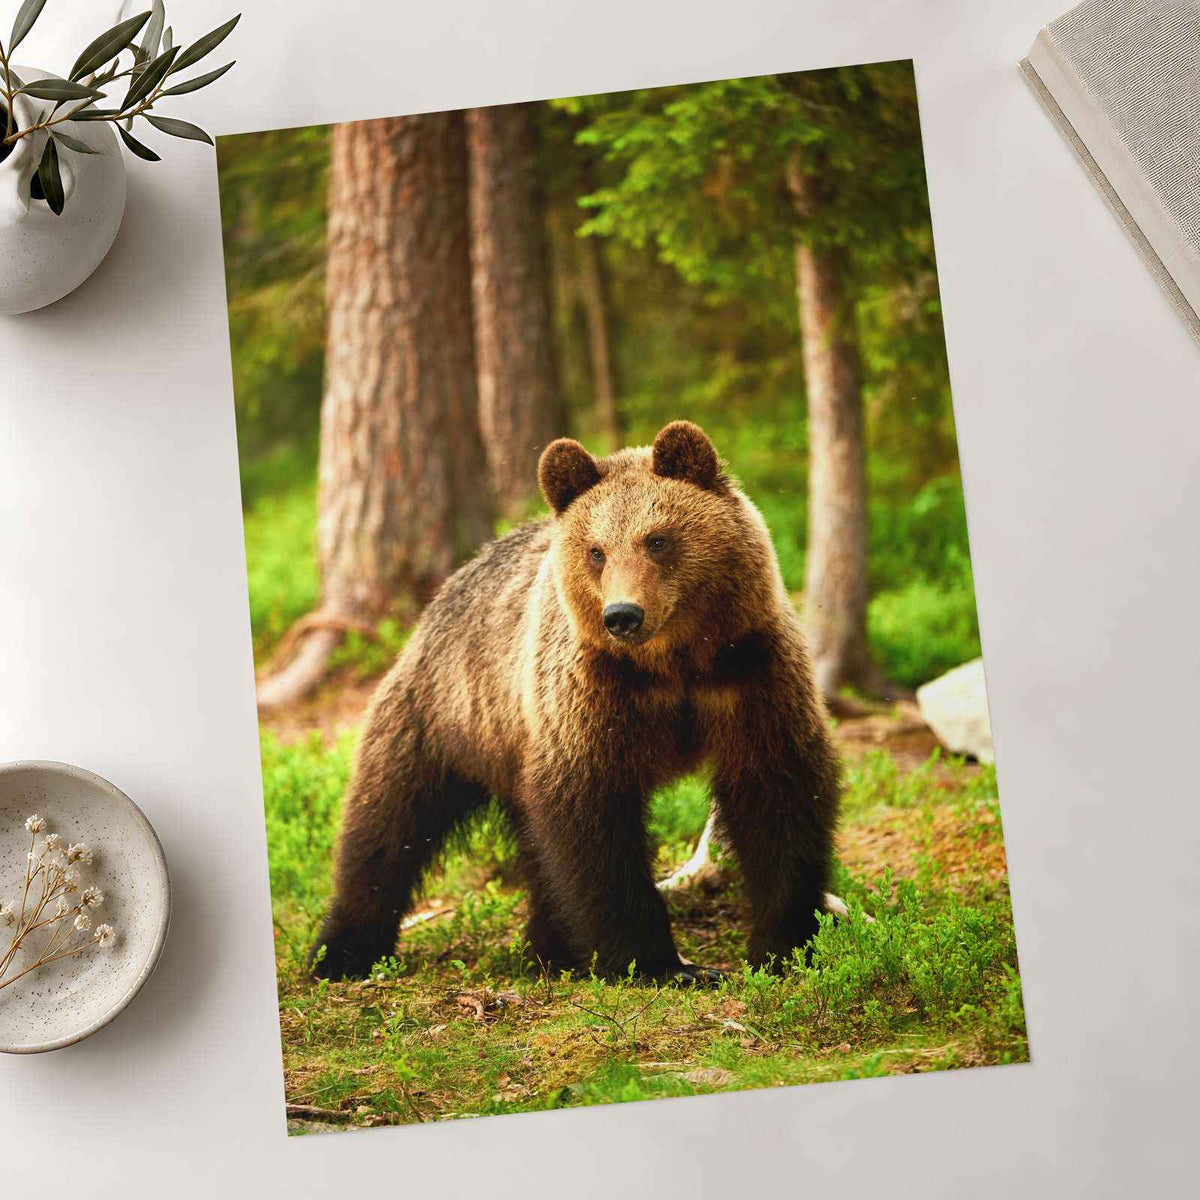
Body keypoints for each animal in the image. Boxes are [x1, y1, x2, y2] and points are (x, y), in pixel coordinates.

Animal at [310, 420, 841, 983]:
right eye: (597, 550)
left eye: (657, 539)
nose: (623, 614)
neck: (674, 664)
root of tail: (434, 603)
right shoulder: (591, 696)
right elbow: (591, 820)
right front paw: (658, 962)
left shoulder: (748, 673)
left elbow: (777, 793)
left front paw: (784, 945)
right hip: (445, 715)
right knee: (387, 824)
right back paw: (341, 951)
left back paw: (550, 947)